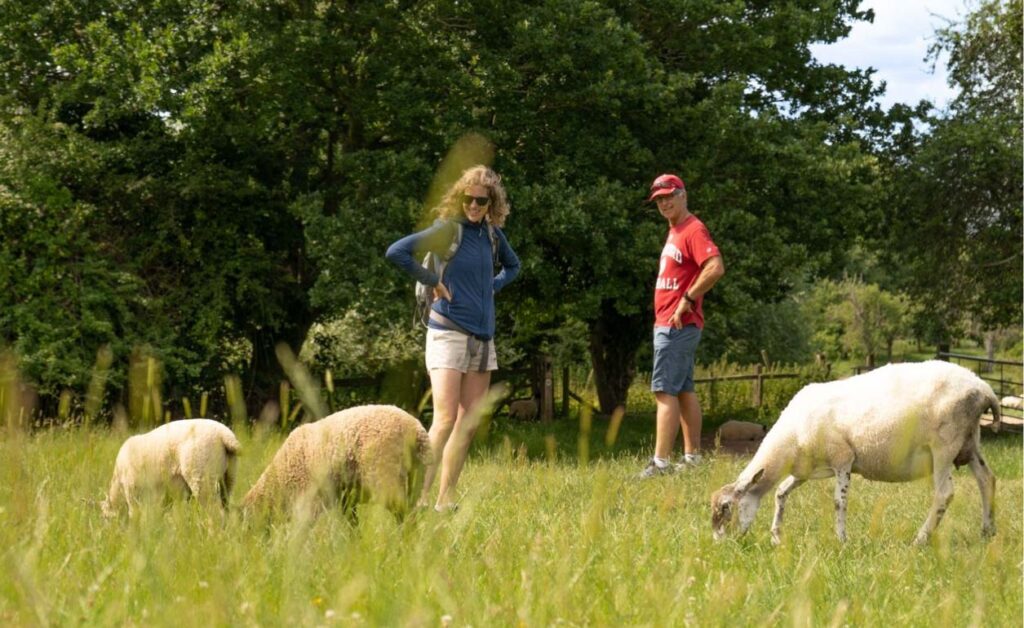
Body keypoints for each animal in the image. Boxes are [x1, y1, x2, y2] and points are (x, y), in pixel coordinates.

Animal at [102, 415, 241, 514]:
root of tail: (225, 434)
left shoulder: (133, 490)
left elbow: (135, 513)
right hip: (230, 472)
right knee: (226, 503)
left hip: (200, 468)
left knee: (213, 509)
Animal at [240, 403, 432, 516]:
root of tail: (416, 429)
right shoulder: (346, 502)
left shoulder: (310, 501)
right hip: (415, 478)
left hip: (385, 476)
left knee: (404, 514)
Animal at [712, 360, 999, 545]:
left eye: (726, 507)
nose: (719, 546)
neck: (787, 444)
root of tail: (984, 389)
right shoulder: (806, 470)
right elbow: (781, 493)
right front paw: (776, 537)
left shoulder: (843, 459)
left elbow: (839, 502)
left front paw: (841, 541)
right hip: (970, 442)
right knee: (987, 480)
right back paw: (987, 532)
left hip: (944, 446)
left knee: (944, 494)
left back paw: (920, 539)